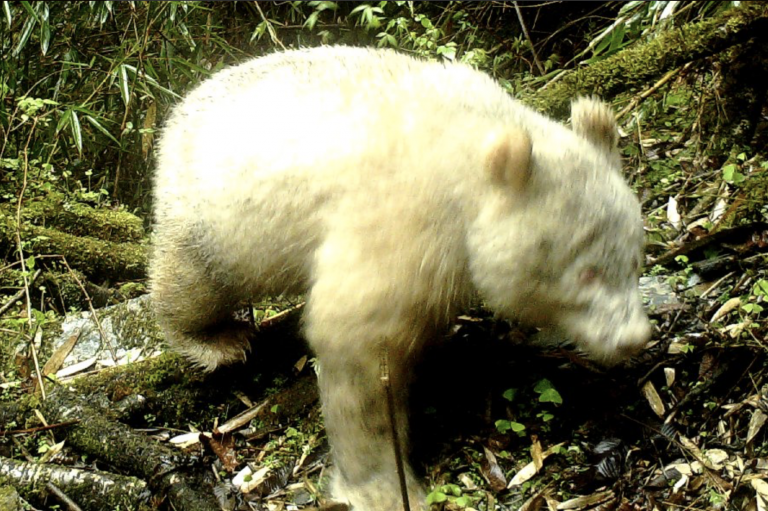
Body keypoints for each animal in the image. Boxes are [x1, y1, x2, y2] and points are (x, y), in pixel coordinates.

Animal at [148, 47, 648, 511]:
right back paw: (215, 340)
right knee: (193, 282)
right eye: (587, 272)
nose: (634, 338)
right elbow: (357, 343)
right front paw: (381, 486)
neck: (469, 152)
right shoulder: (402, 219)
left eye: (636, 258)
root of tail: (179, 110)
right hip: (212, 215)